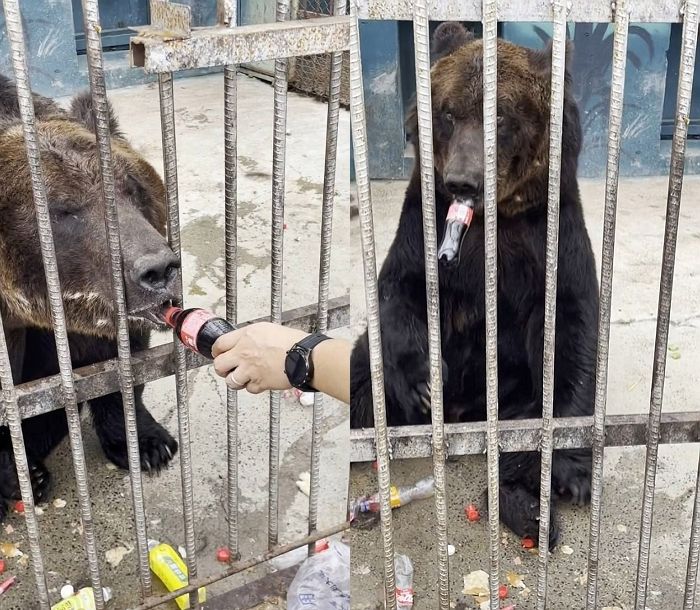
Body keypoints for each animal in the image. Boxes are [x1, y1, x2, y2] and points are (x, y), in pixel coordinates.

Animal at [0, 72, 183, 516]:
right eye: (63, 210)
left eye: (132, 189)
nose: (158, 269)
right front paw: (19, 476)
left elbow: (118, 367)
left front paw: (146, 445)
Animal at [348, 25, 596, 548]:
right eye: (448, 113)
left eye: (500, 114)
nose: (463, 181)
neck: (491, 218)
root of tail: (467, 414)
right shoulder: (423, 223)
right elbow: (401, 290)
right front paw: (425, 381)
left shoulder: (548, 233)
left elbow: (572, 319)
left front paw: (571, 472)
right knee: (361, 377)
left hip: (513, 396)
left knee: (522, 441)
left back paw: (531, 508)